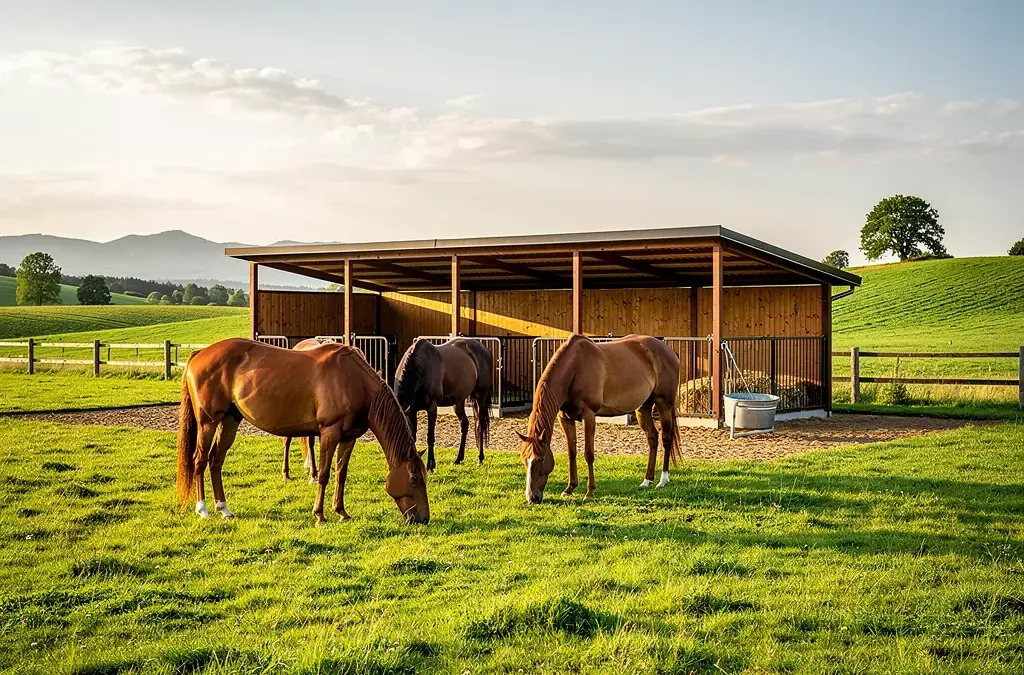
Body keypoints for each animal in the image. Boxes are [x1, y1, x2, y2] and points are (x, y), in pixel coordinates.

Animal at [176, 337, 429, 524]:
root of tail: (200, 353)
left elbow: (341, 474)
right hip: (208, 423)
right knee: (199, 460)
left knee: (215, 460)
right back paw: (202, 509)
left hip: (230, 420)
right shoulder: (330, 433)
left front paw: (341, 512)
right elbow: (325, 475)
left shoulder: (348, 438)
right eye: (414, 478)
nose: (423, 519)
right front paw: (319, 515)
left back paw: (224, 508)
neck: (354, 381)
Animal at [393, 337, 492, 471]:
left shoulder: (431, 408)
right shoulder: (412, 410)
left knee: (480, 425)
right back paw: (458, 458)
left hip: (480, 396)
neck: (420, 368)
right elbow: (414, 436)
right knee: (464, 424)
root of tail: (484, 349)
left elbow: (430, 437)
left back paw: (480, 459)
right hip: (458, 401)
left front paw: (430, 465)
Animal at [518, 334, 681, 504]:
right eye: (524, 459)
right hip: (643, 408)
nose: (532, 497)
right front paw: (569, 488)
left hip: (664, 404)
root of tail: (669, 351)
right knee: (652, 438)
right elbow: (571, 452)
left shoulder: (589, 415)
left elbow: (588, 454)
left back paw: (663, 480)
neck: (575, 367)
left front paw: (589, 492)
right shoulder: (565, 418)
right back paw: (647, 481)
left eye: (541, 459)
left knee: (666, 439)